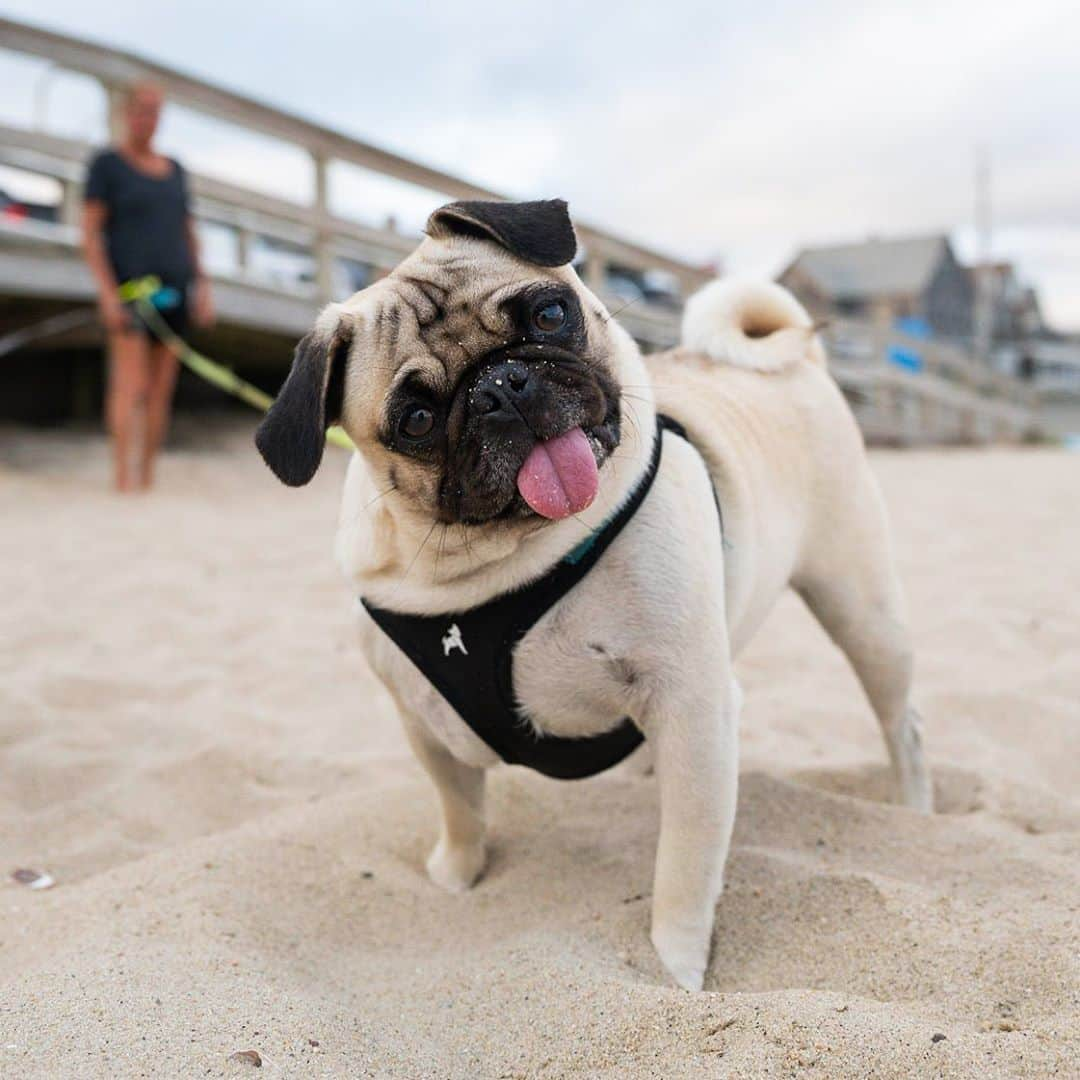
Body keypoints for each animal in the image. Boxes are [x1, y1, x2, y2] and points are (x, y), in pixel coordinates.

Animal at [257, 198, 933, 989]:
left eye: (550, 314)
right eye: (416, 421)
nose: (500, 385)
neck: (506, 564)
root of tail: (803, 363)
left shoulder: (694, 708)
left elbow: (686, 862)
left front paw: (675, 970)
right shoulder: (420, 722)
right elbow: (459, 806)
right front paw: (456, 877)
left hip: (862, 607)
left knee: (902, 725)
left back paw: (914, 815)